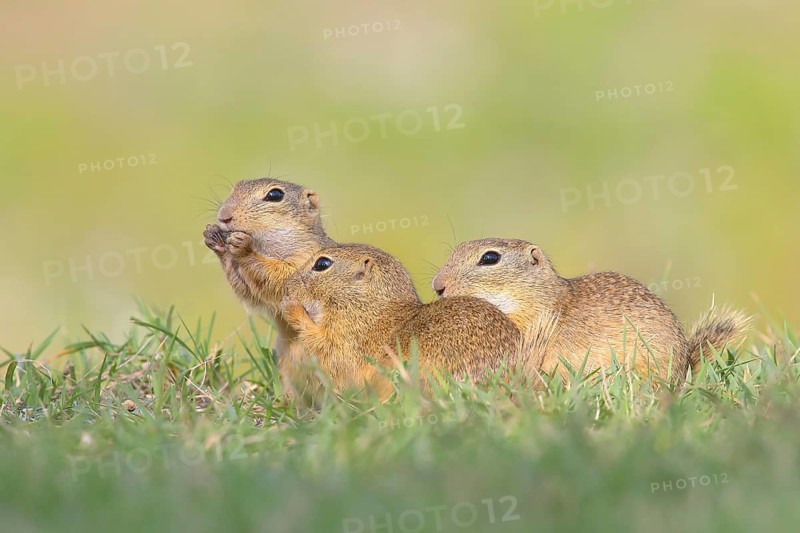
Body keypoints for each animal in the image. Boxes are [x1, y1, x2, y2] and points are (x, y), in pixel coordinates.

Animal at [203, 178, 336, 396]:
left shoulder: (303, 265)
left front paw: (243, 248)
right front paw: (214, 238)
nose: (224, 216)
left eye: (274, 195)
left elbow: (278, 281)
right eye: (235, 188)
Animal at [279, 244, 522, 399]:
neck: (365, 303)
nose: (286, 288)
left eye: (322, 264)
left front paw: (290, 308)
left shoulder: (346, 339)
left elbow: (323, 346)